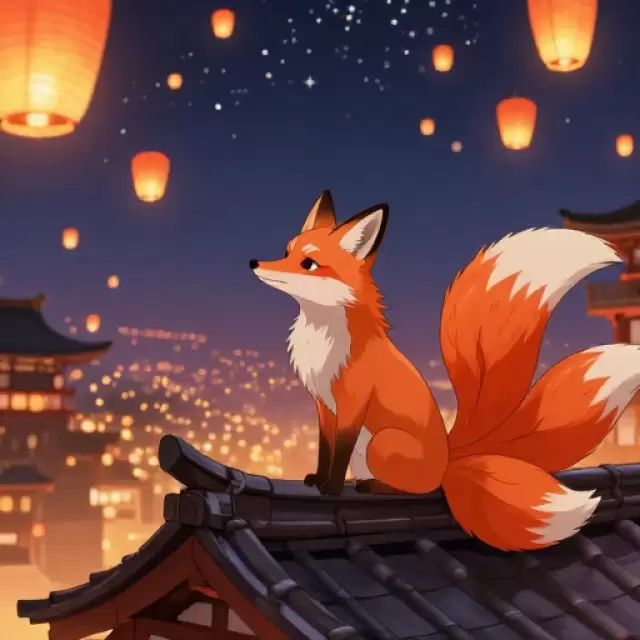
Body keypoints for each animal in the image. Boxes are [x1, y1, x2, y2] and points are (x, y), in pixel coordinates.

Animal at [249, 190, 640, 551]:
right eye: (286, 251)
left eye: (309, 264)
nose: (254, 261)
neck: (322, 338)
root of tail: (448, 462)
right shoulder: (323, 404)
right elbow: (325, 448)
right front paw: (317, 480)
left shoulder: (352, 402)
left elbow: (338, 452)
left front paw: (331, 489)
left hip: (381, 443)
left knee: (416, 488)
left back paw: (374, 485)